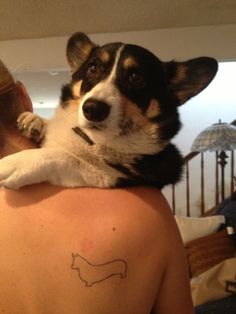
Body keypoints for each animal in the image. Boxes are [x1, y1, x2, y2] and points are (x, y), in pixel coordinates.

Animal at [0, 32, 218, 189]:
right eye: (93, 68)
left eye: (136, 77)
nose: (93, 109)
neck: (91, 138)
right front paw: (35, 121)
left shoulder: (115, 175)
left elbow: (67, 157)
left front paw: (18, 163)